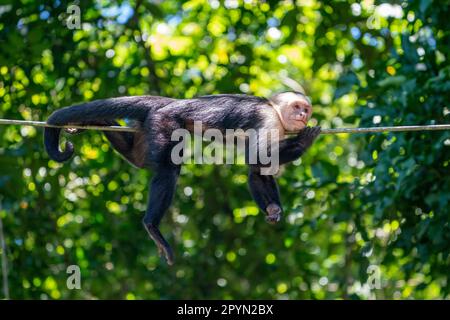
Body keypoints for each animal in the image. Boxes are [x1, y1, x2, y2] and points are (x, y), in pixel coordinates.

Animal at [44, 90, 320, 264]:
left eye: (306, 109)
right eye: (297, 108)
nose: (302, 116)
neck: (275, 111)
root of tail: (172, 102)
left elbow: (257, 170)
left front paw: (273, 209)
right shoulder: (268, 119)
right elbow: (258, 159)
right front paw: (304, 142)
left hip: (150, 125)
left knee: (138, 158)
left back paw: (97, 122)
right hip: (164, 121)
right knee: (169, 168)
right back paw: (152, 226)